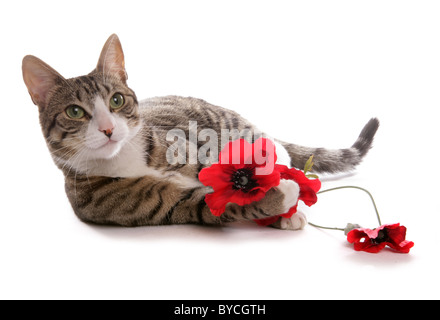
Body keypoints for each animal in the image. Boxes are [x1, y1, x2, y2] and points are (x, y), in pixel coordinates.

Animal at [21, 34, 378, 230]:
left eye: (116, 100)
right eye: (75, 112)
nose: (108, 129)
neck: (126, 158)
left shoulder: (201, 155)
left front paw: (284, 201)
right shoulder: (169, 204)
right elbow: (218, 204)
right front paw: (280, 198)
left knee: (279, 152)